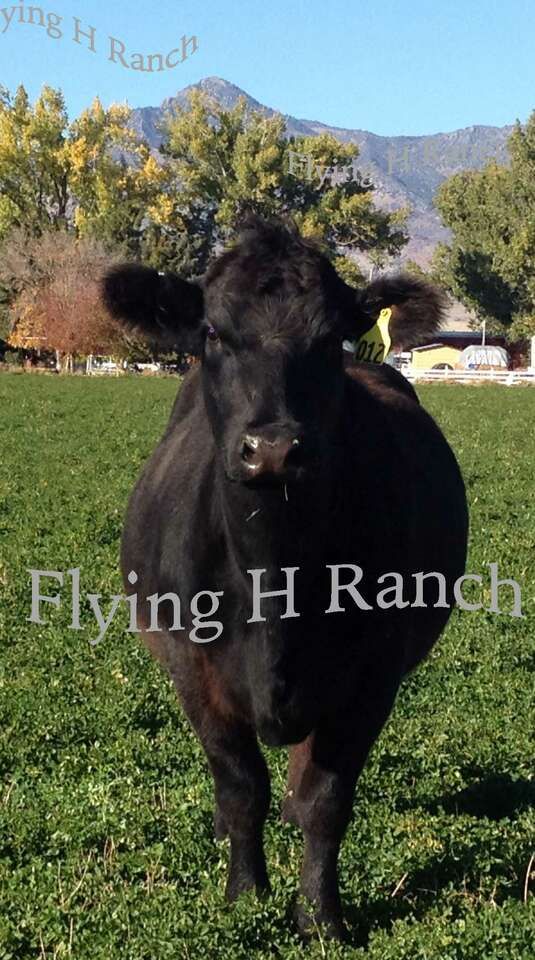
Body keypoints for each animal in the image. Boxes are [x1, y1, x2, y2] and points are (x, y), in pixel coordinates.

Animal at [102, 217, 468, 941]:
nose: (272, 448)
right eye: (213, 332)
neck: (275, 580)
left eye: (328, 339)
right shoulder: (193, 668)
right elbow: (241, 783)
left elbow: (325, 796)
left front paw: (321, 916)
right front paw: (245, 896)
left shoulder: (372, 675)